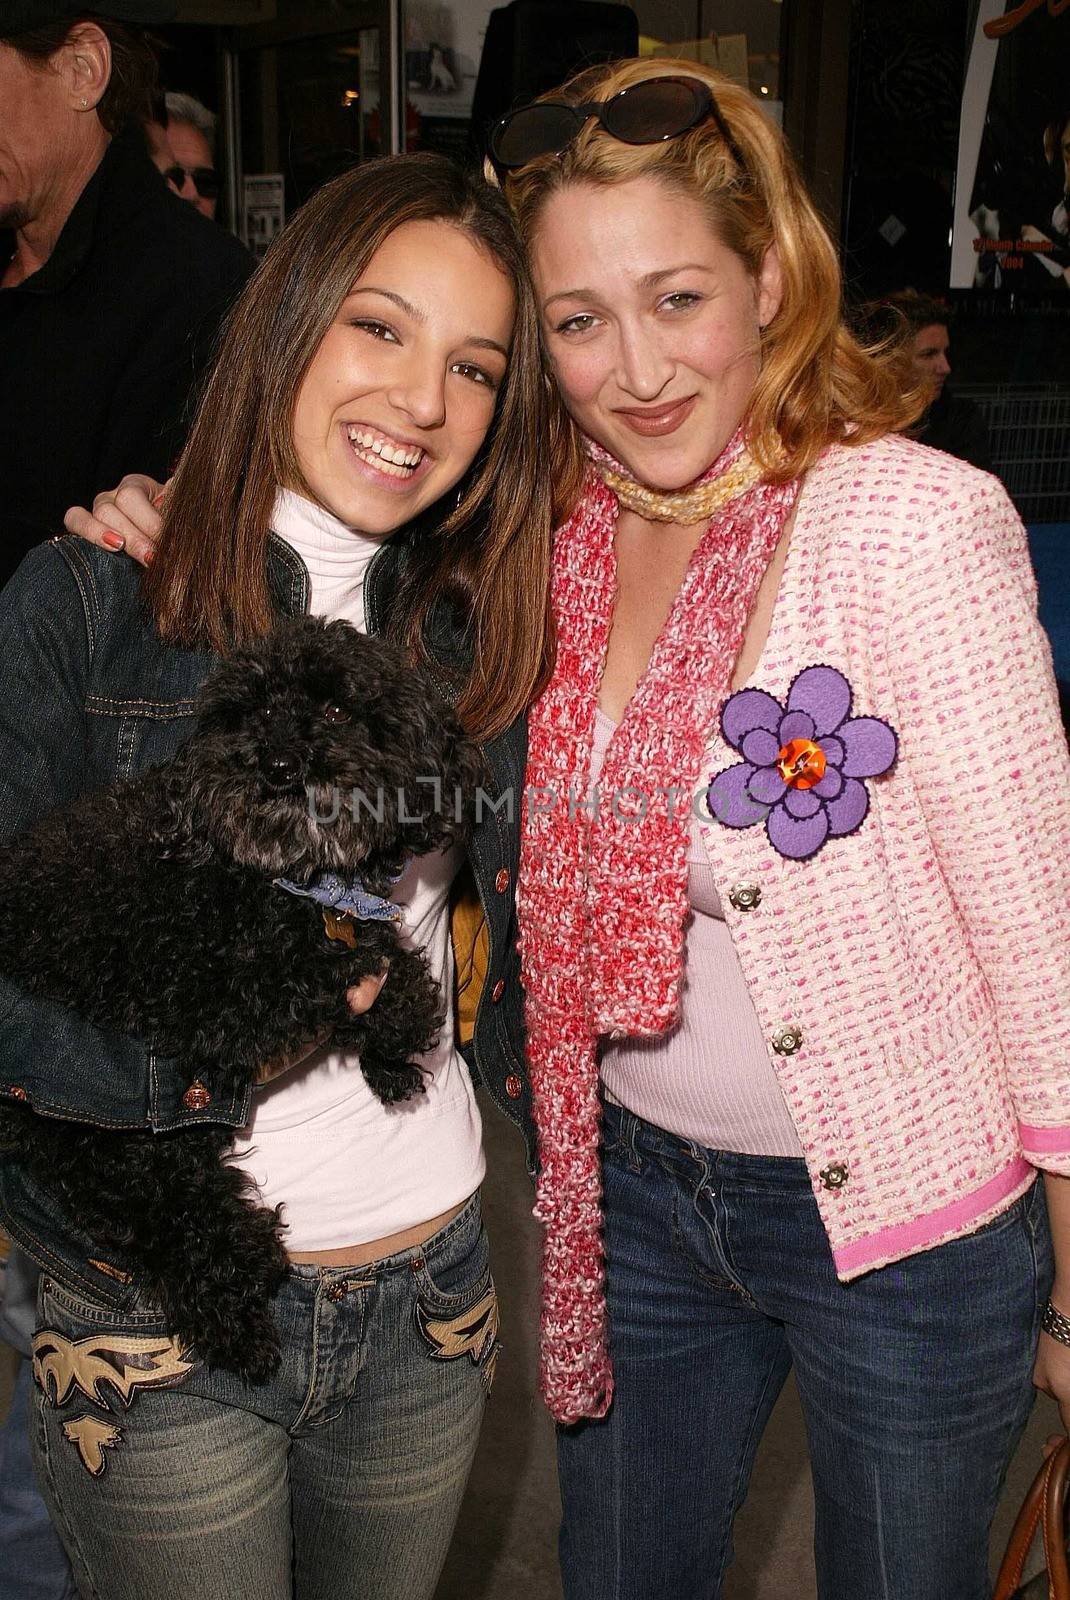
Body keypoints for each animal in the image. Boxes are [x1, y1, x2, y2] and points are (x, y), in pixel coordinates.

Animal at [0, 617, 479, 1382]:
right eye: (249, 711)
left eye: (337, 709)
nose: (279, 765)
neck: (270, 879)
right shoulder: (213, 1002)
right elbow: (342, 965)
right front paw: (394, 1016)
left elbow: (379, 951)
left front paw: (394, 1053)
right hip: (102, 1125)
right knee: (168, 1207)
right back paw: (239, 1306)